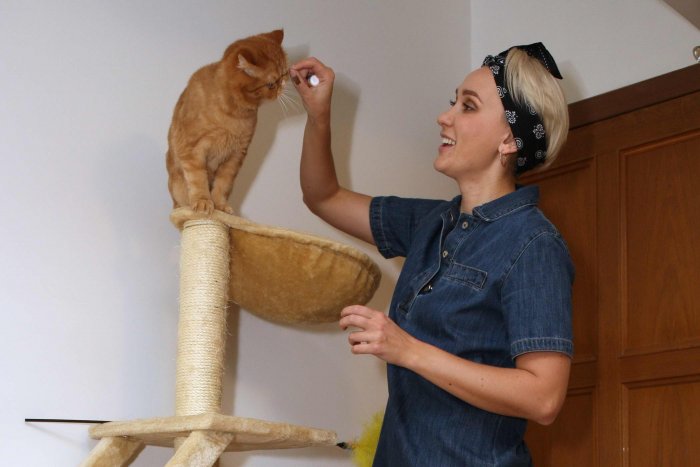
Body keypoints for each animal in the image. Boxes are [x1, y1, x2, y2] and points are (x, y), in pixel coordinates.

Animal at [166, 29, 288, 214]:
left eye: (285, 74)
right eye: (271, 84)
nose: (282, 87)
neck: (234, 115)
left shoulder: (236, 155)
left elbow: (223, 184)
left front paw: (220, 206)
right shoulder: (192, 149)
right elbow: (198, 179)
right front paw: (203, 201)